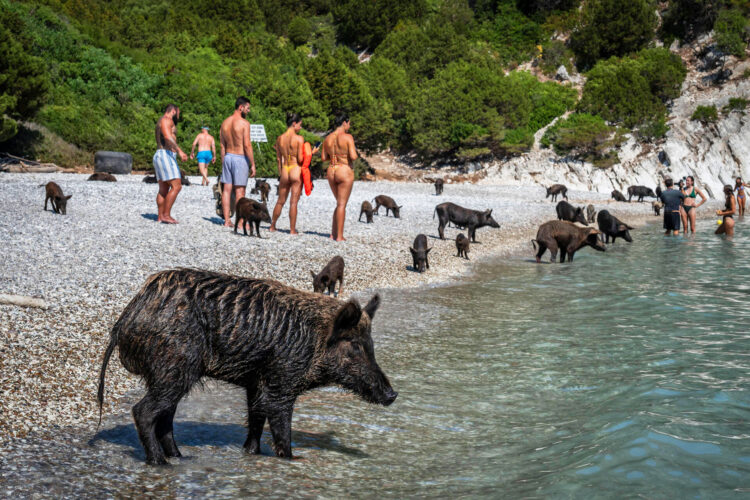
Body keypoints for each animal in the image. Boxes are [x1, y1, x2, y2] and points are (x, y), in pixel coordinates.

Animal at [97, 268, 396, 465]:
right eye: (355, 346)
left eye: (371, 344)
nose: (393, 394)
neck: (315, 339)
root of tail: (125, 320)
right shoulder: (281, 381)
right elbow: (280, 425)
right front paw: (293, 459)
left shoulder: (257, 383)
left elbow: (256, 420)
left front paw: (251, 454)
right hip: (174, 367)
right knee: (143, 411)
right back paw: (161, 463)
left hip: (169, 374)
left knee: (165, 418)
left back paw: (182, 458)